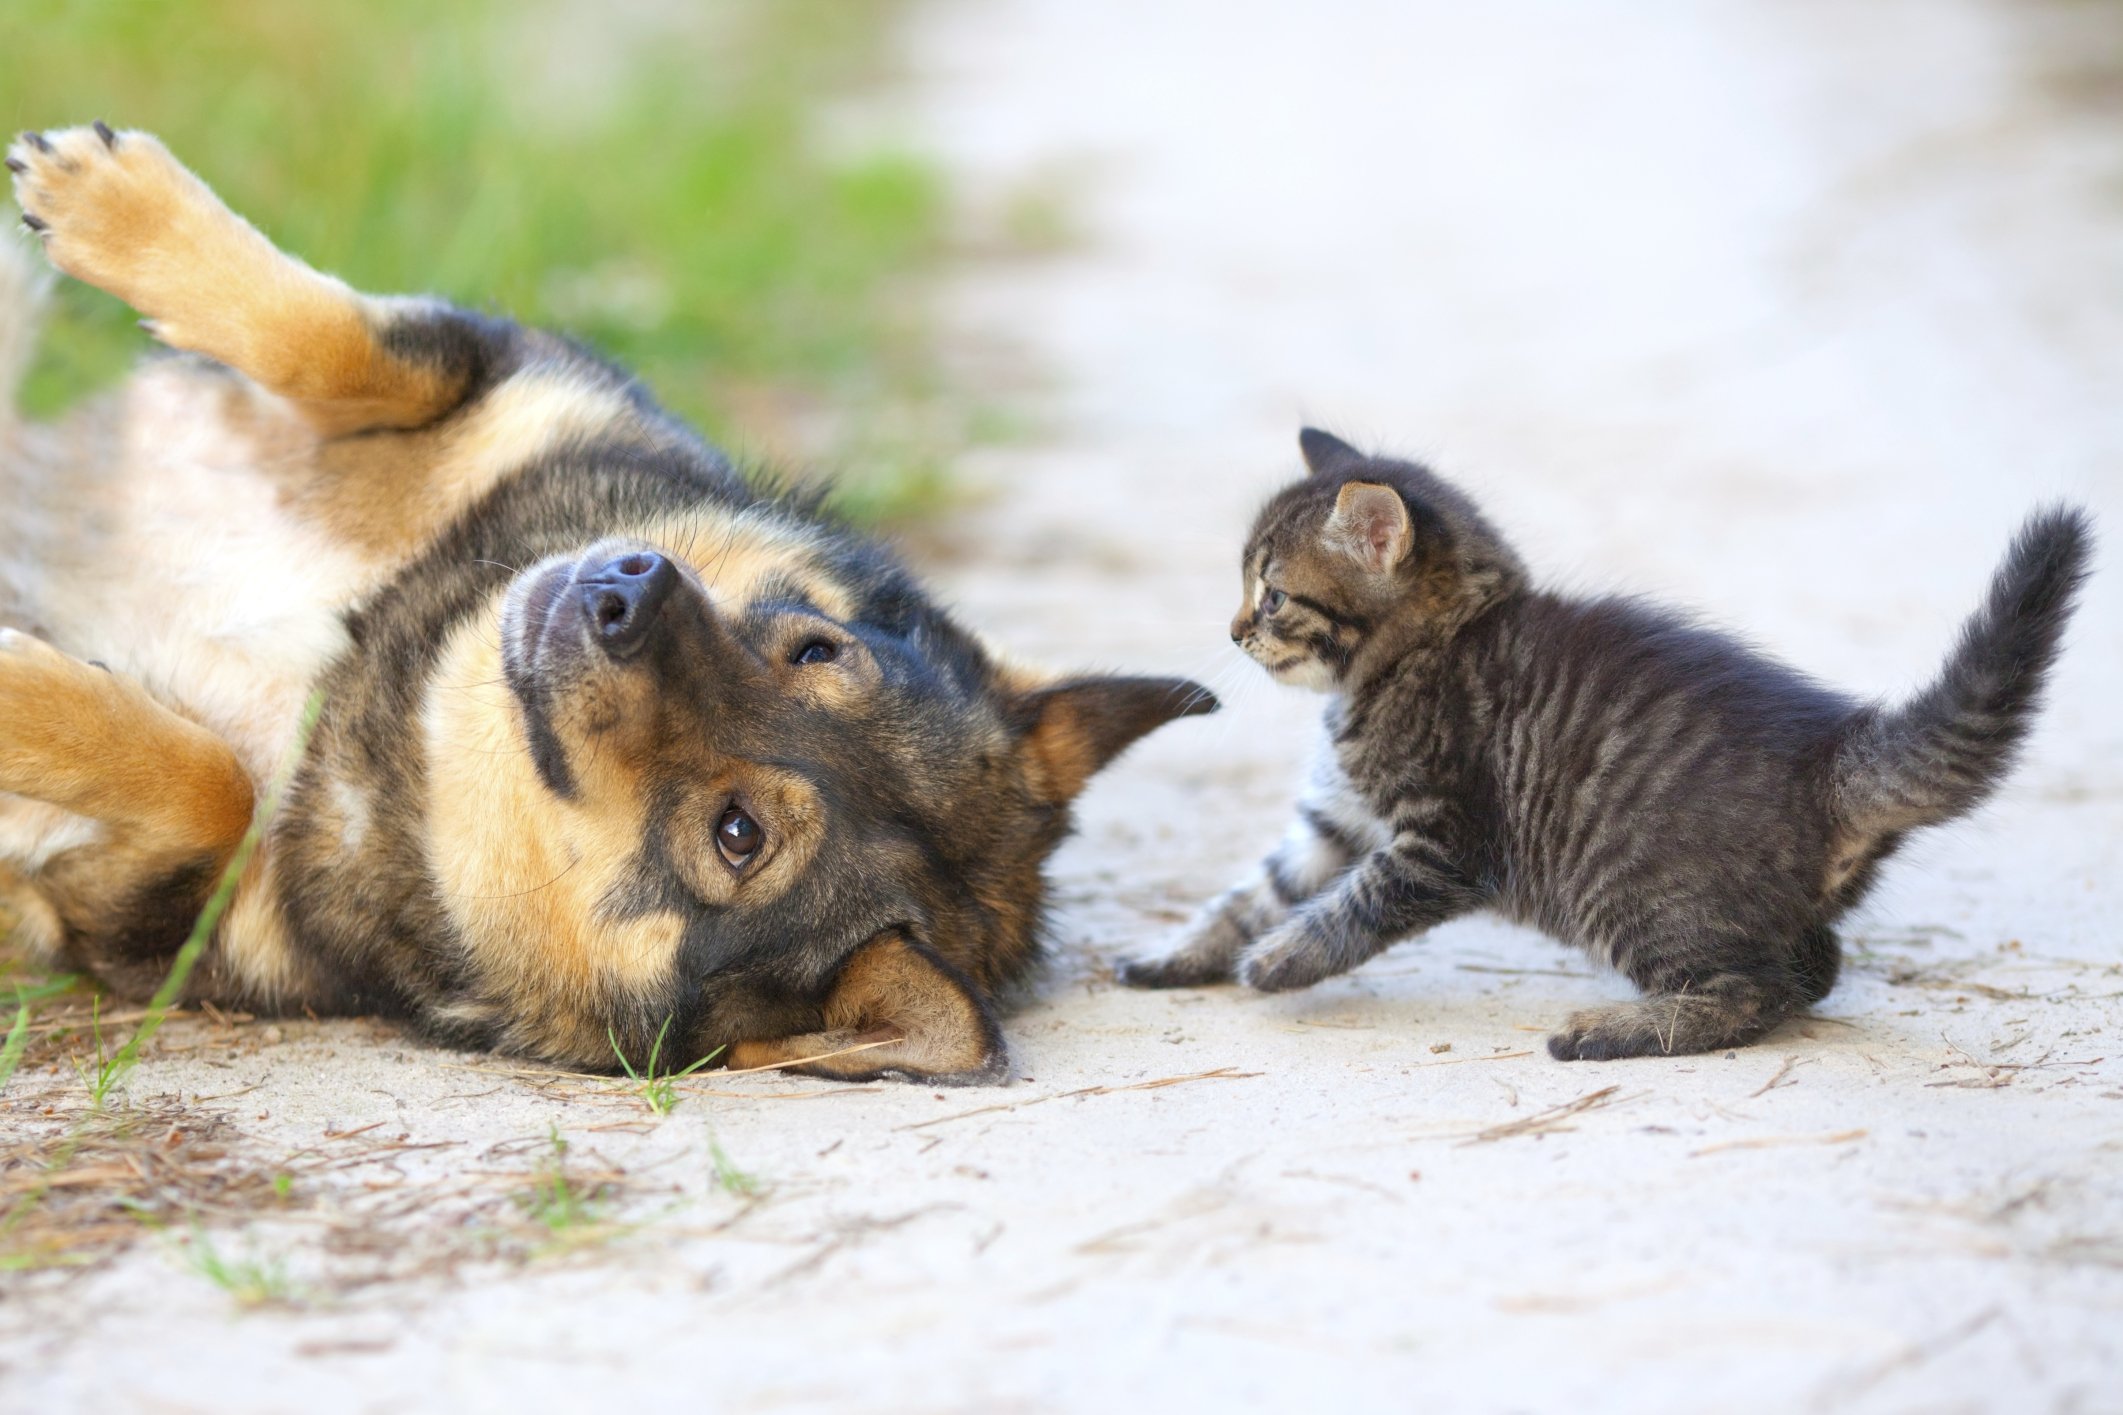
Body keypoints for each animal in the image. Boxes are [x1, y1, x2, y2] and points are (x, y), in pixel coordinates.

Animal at [0, 127, 1214, 1094]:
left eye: (738, 833)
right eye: (813, 648)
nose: (629, 588)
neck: (383, 644)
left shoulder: (152, 917)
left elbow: (212, 779)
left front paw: (23, 691)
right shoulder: (516, 374)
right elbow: (342, 344)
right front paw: (119, 206)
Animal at [1120, 432, 2097, 1060]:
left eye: (1273, 594)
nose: (1235, 628)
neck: (1419, 651)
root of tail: (1830, 759)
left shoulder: (1439, 843)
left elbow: (1347, 909)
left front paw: (1278, 961)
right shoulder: (1334, 821)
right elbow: (1253, 891)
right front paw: (1185, 955)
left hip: (1634, 897)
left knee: (1758, 989)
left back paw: (1614, 1030)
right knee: (1814, 964)